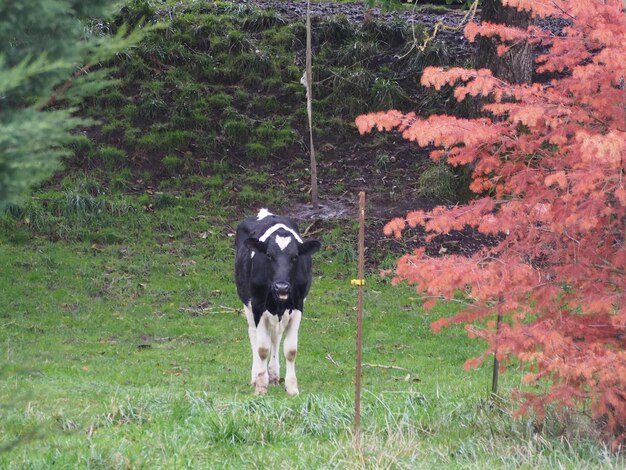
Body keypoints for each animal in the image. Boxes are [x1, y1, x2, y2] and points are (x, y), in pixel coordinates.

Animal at [235, 207, 322, 394]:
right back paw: (256, 377)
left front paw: (292, 387)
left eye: (295, 256)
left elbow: (290, 350)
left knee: (275, 337)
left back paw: (274, 374)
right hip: (247, 302)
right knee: (254, 335)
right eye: (268, 255)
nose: (281, 287)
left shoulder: (297, 306)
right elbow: (262, 349)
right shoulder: (258, 305)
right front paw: (261, 386)